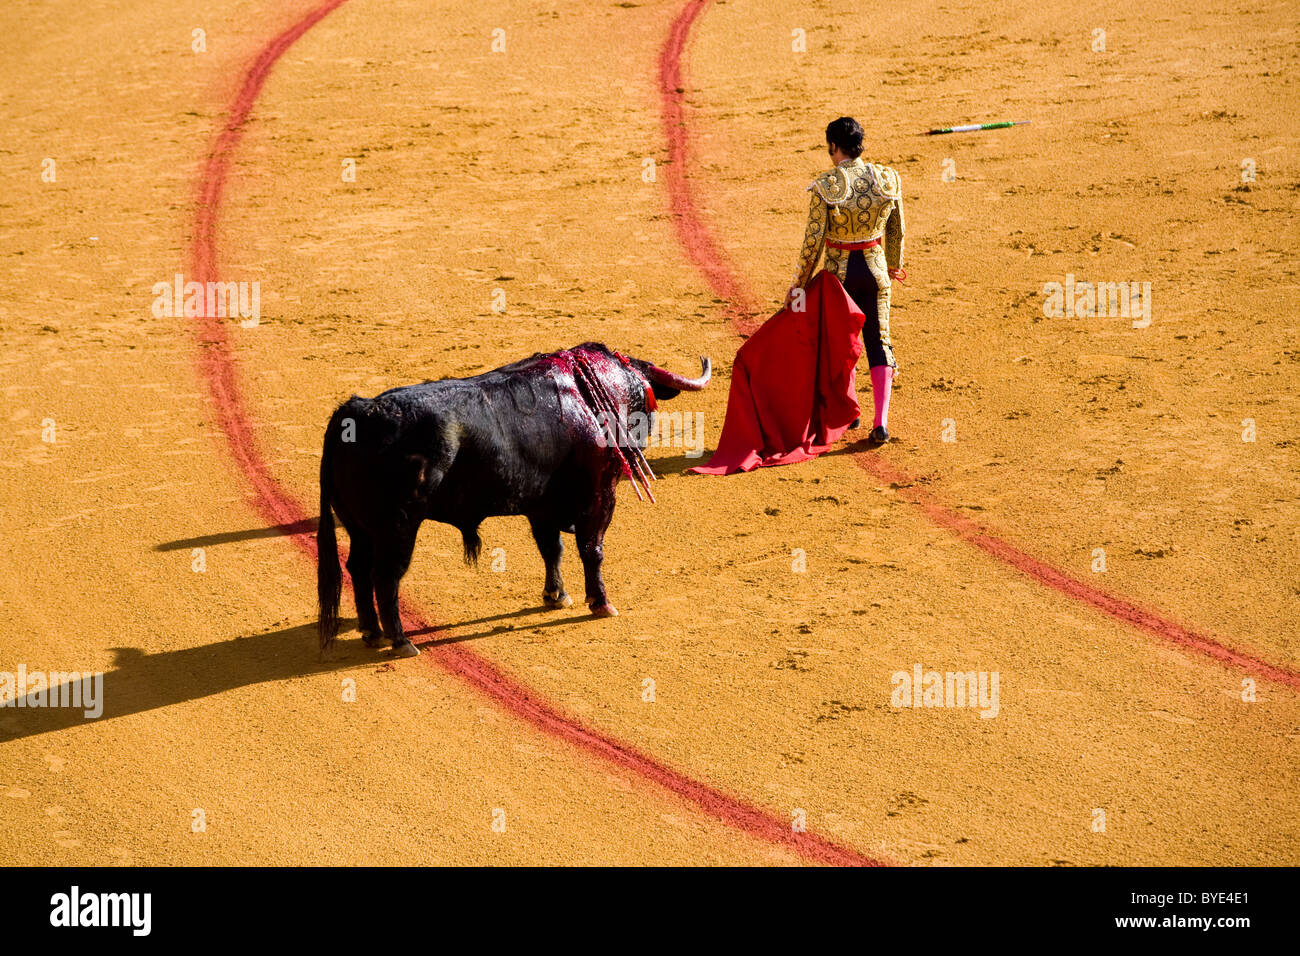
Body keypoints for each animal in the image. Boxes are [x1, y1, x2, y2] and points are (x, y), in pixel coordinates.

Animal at [315, 343, 712, 658]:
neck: (588, 398)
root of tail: (356, 410)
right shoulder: (600, 495)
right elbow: (591, 549)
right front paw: (600, 602)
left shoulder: (542, 507)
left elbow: (552, 549)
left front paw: (556, 595)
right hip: (398, 527)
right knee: (386, 576)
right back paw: (400, 641)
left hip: (359, 527)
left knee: (358, 569)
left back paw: (372, 632)